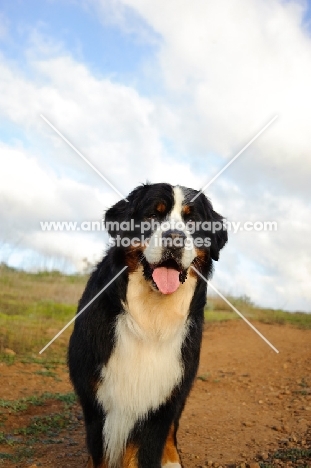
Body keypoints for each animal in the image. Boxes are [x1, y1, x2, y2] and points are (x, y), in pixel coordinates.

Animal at [69, 183, 228, 468]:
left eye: (192, 222)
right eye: (153, 216)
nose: (175, 238)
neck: (150, 321)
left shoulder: (161, 401)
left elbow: (147, 449)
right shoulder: (96, 402)